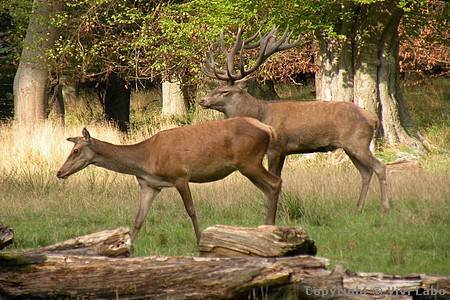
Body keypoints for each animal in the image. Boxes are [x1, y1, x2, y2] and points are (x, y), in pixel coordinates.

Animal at [56, 118, 282, 245]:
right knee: (269, 188)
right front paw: (127, 247)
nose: (59, 172)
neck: (146, 160)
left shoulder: (180, 176)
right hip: (249, 164)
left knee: (275, 183)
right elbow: (138, 219)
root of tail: (269, 129)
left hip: (248, 161)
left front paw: (200, 242)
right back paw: (266, 230)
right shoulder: (150, 185)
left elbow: (191, 210)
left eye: (76, 150)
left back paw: (270, 229)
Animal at [199, 27, 388, 211]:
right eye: (216, 87)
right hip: (350, 147)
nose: (202, 100)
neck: (260, 114)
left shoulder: (275, 147)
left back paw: (384, 207)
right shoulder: (283, 150)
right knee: (366, 172)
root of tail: (373, 118)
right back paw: (358, 208)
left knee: (380, 167)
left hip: (358, 142)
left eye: (224, 91)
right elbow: (279, 176)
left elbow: (274, 176)